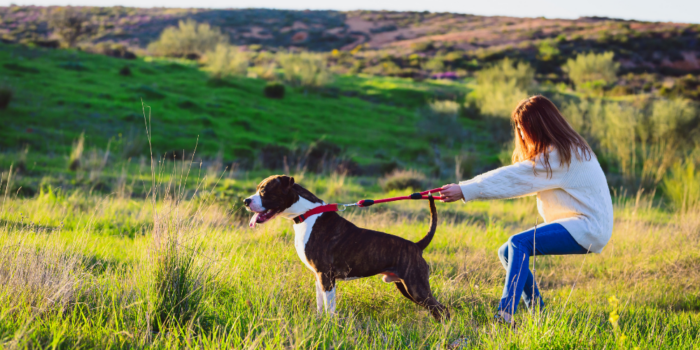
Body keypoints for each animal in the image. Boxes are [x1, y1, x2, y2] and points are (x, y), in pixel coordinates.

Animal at [243, 174, 448, 322]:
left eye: (264, 190)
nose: (246, 201)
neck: (307, 213)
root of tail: (417, 245)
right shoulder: (318, 277)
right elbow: (320, 305)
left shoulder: (326, 276)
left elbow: (330, 308)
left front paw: (329, 326)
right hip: (406, 287)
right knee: (437, 310)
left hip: (416, 287)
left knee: (442, 309)